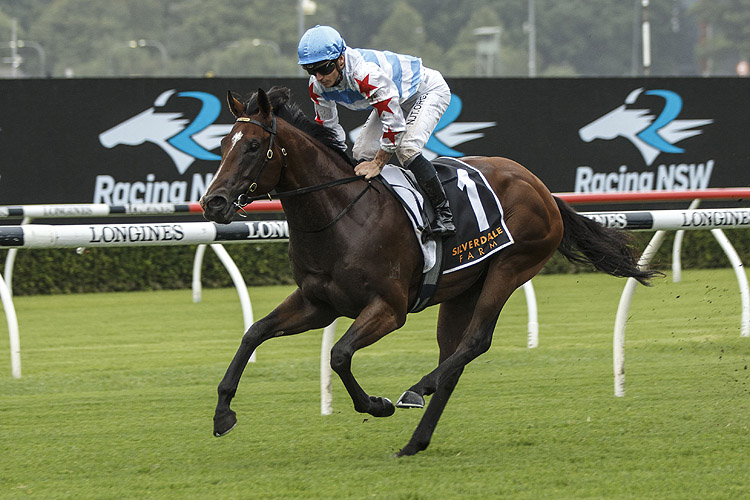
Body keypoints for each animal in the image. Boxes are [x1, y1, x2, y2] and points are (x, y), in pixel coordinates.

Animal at [201, 87, 656, 458]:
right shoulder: (318, 303)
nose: (214, 203)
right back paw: (415, 441)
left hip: (511, 267)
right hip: (463, 289)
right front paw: (223, 414)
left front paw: (377, 405)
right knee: (453, 361)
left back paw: (416, 390)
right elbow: (254, 333)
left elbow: (339, 354)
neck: (340, 215)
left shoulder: (389, 308)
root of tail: (541, 188)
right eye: (223, 143)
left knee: (474, 342)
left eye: (254, 145)